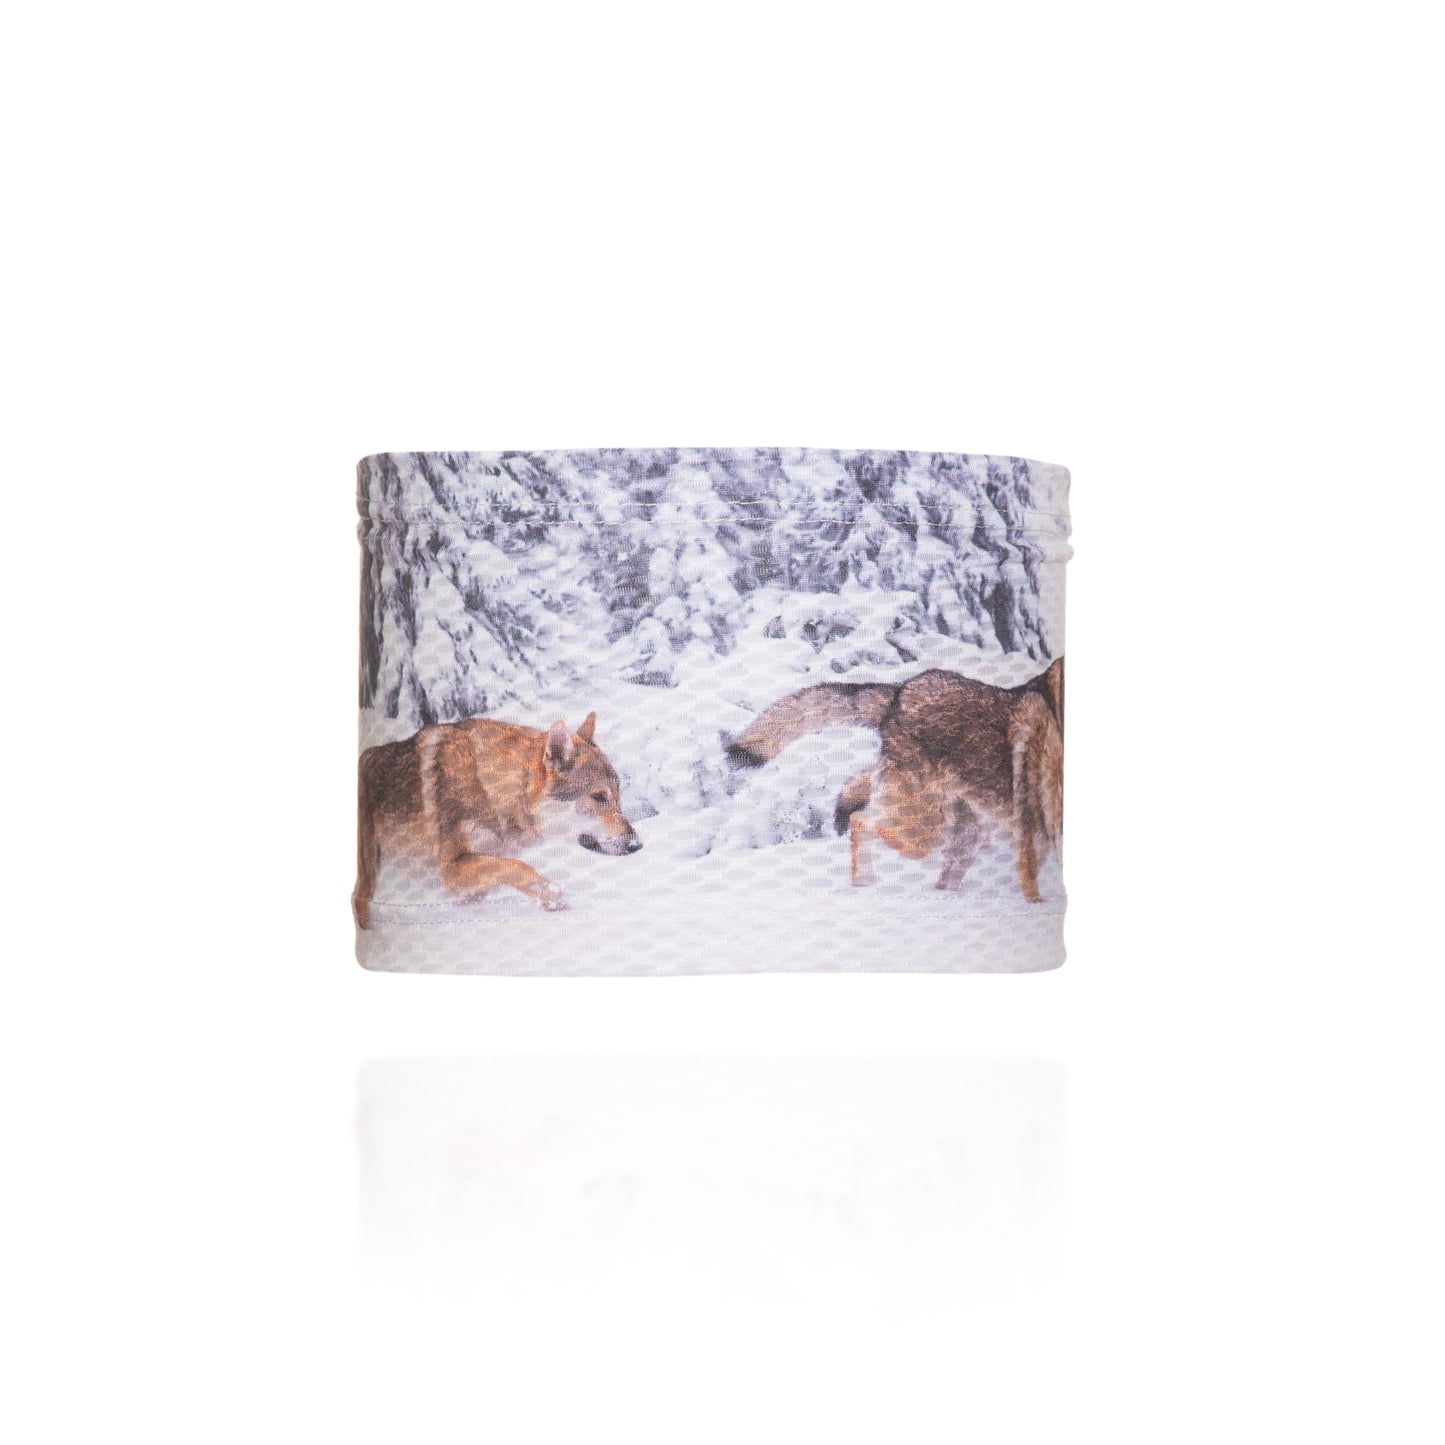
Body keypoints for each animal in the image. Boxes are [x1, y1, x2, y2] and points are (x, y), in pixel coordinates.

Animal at [354, 711, 640, 928]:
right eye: (599, 797)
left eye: (618, 798)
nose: (637, 845)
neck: (491, 790)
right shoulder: (452, 869)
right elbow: (519, 867)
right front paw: (555, 896)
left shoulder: (472, 888)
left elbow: (513, 874)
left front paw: (553, 904)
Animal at [727, 659, 1063, 901]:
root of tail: (900, 693)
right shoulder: (1034, 845)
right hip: (923, 834)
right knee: (860, 820)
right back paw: (865, 884)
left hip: (957, 836)